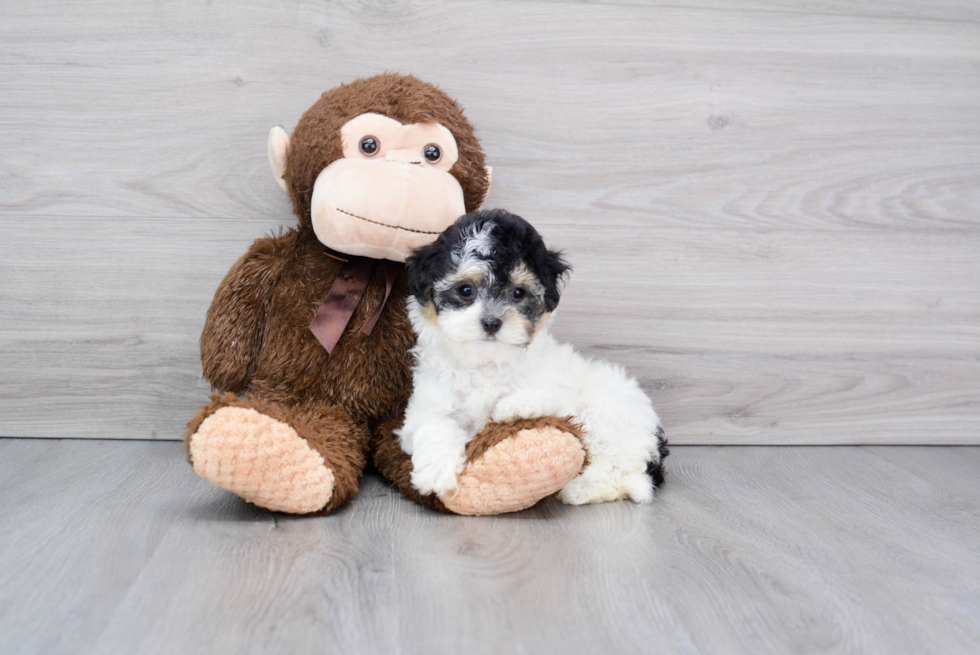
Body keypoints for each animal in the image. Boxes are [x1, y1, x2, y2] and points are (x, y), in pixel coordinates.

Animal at [398, 210, 668, 508]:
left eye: (518, 293)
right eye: (465, 290)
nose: (492, 322)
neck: (486, 362)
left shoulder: (559, 390)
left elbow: (546, 395)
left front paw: (513, 406)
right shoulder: (426, 407)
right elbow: (434, 426)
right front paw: (435, 473)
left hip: (609, 412)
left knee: (618, 470)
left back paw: (578, 488)